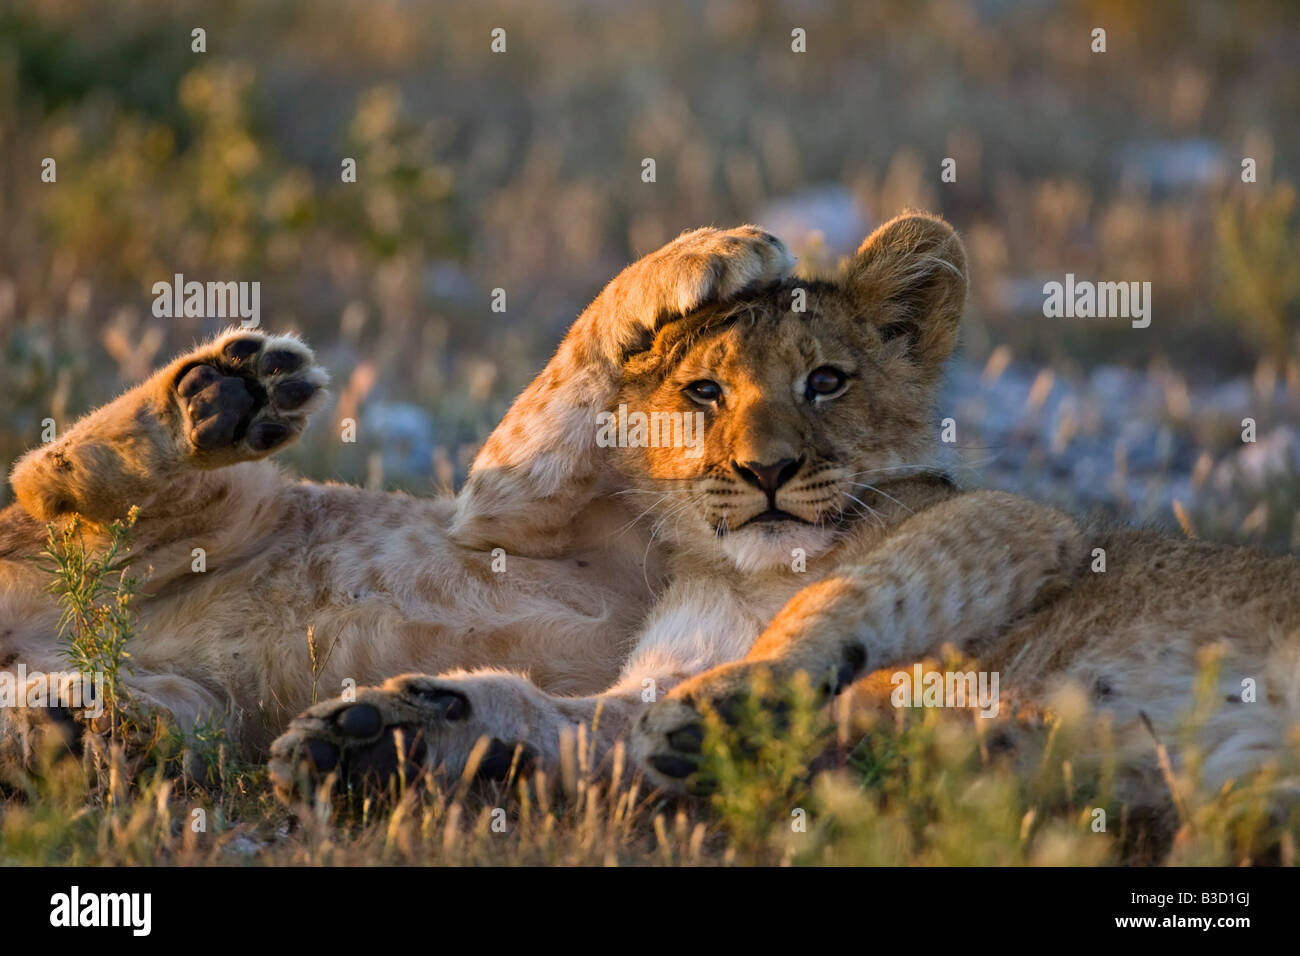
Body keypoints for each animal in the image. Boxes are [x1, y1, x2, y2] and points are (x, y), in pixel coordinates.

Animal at [3, 215, 1299, 818]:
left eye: (827, 381)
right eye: (705, 393)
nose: (769, 471)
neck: (733, 559)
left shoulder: (1024, 521)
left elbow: (827, 612)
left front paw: (387, 737)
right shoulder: (510, 514)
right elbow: (577, 364)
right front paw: (712, 254)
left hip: (189, 700)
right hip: (199, 530)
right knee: (49, 482)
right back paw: (221, 395)